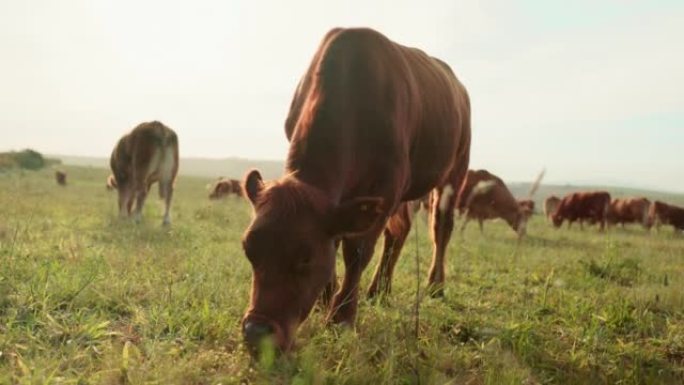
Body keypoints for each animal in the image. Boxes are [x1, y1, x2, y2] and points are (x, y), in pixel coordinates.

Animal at [239, 27, 470, 352]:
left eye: (306, 257)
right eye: (249, 250)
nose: (257, 332)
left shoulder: (386, 187)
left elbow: (357, 252)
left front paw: (342, 317)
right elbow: (338, 241)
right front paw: (325, 300)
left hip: (455, 169)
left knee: (441, 228)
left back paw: (435, 285)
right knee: (399, 231)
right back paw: (379, 290)